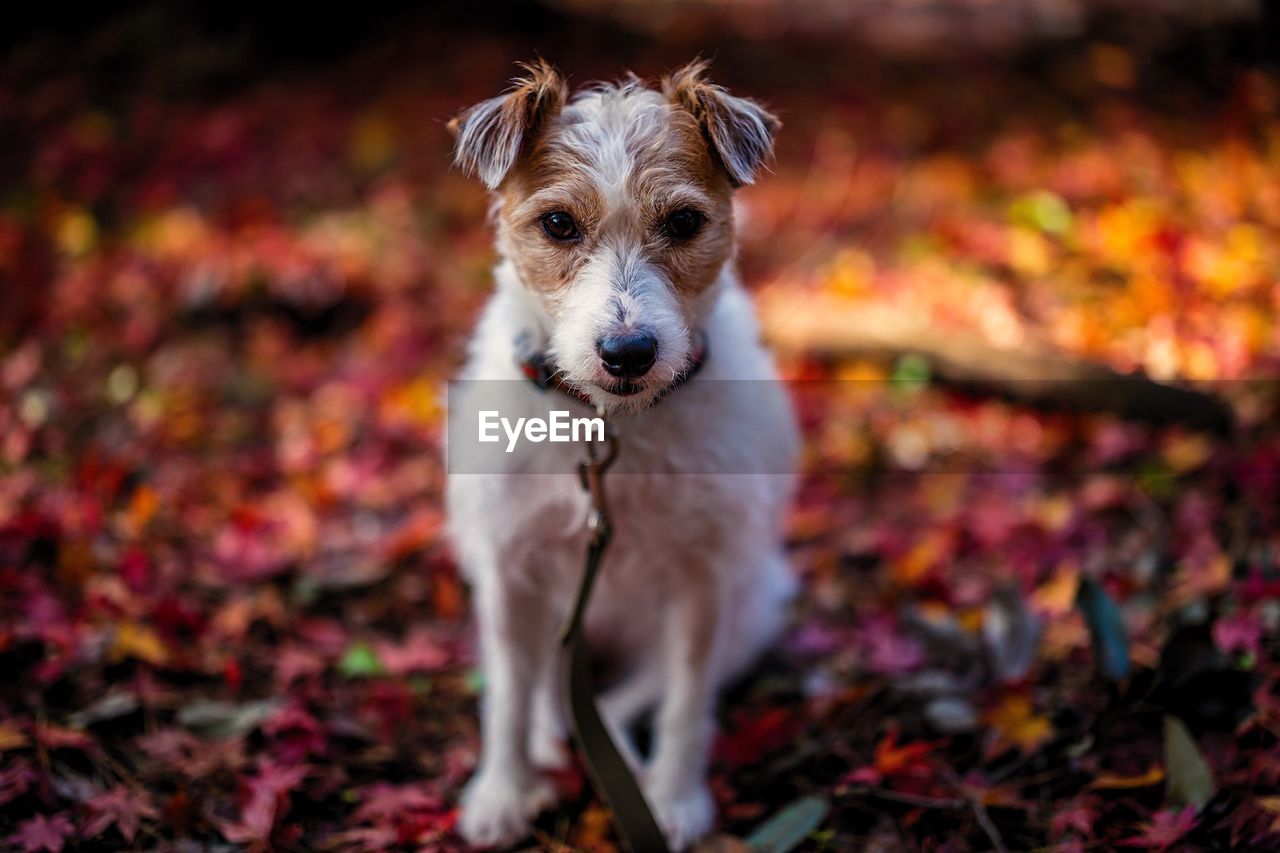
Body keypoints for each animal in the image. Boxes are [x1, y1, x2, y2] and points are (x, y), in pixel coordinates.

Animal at [445, 56, 793, 845]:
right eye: (558, 224)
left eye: (684, 221)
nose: (628, 352)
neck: (608, 425)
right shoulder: (508, 573)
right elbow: (507, 696)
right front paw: (502, 792)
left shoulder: (703, 582)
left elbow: (686, 700)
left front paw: (674, 797)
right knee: (548, 685)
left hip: (753, 608)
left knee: (631, 693)